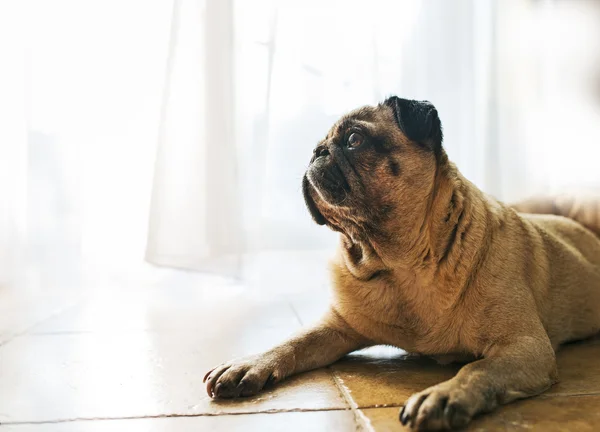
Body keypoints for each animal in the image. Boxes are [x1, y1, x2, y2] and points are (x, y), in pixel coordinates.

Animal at [204, 96, 600, 430]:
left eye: (354, 139)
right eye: (319, 145)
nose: (317, 152)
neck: (400, 265)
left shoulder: (523, 347)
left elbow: (477, 368)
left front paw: (445, 395)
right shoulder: (336, 328)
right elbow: (294, 341)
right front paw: (251, 363)